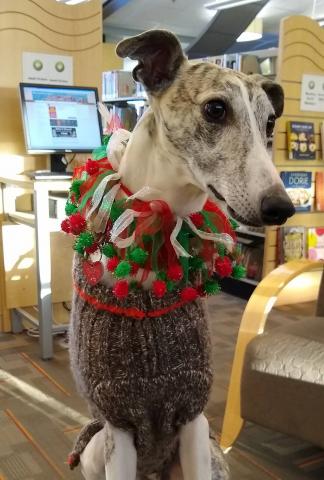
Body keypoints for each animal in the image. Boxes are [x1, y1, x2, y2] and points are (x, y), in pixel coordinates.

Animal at [69, 30, 294, 480]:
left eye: (270, 123)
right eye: (215, 109)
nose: (283, 208)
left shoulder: (193, 416)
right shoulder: (118, 424)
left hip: (210, 449)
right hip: (94, 450)